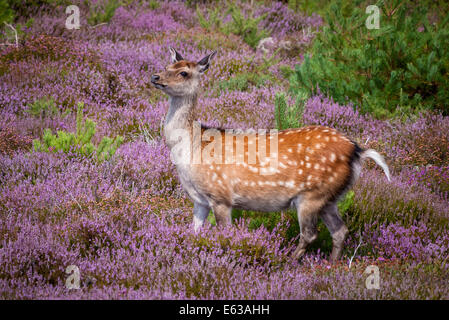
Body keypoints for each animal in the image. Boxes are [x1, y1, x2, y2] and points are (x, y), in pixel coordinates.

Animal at [150, 47, 388, 262]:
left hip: (312, 195)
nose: (155, 76)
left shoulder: (221, 195)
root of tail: (358, 150)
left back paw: (289, 261)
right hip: (330, 198)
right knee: (339, 230)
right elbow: (194, 231)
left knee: (310, 234)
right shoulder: (199, 200)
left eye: (184, 73)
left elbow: (224, 234)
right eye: (167, 66)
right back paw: (332, 264)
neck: (192, 149)